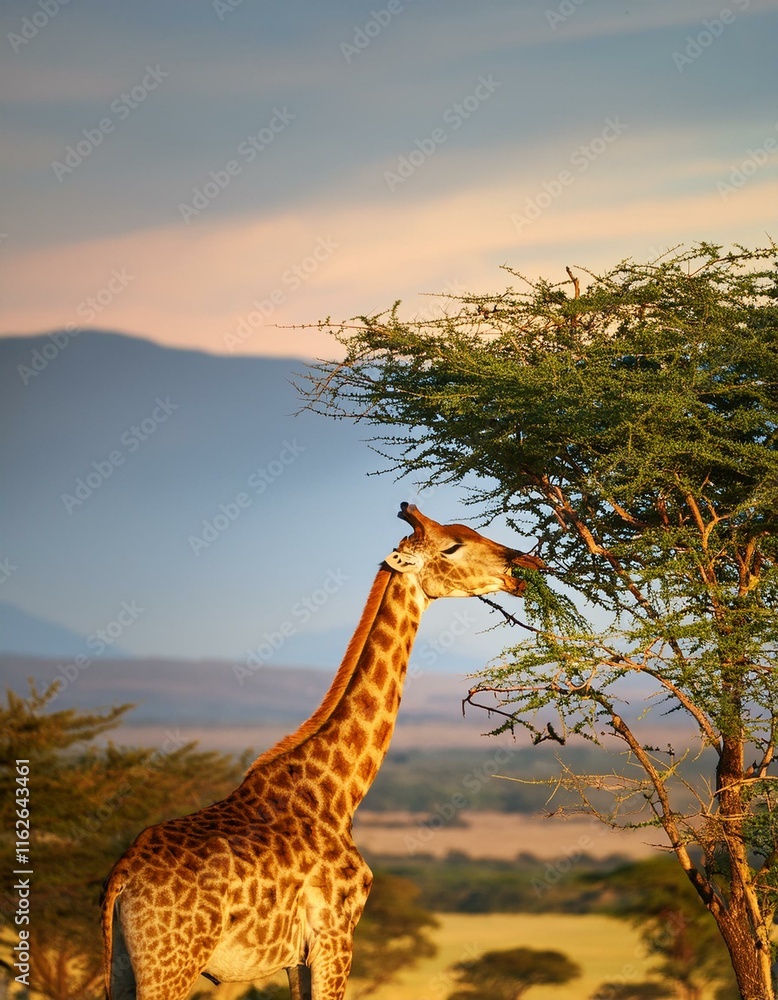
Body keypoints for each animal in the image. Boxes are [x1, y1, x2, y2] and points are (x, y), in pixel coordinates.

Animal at [101, 502, 544, 1000]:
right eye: (453, 545)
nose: (526, 566)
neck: (339, 793)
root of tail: (121, 878)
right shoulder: (335, 934)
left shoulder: (296, 956)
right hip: (170, 966)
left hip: (123, 967)